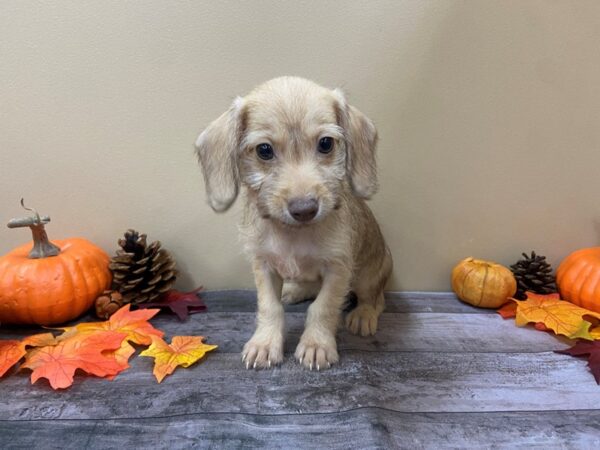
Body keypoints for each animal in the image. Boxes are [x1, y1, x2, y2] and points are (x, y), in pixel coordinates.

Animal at [197, 77, 392, 370]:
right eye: (264, 150)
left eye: (326, 144)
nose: (304, 209)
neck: (293, 235)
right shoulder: (264, 266)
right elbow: (270, 307)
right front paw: (265, 343)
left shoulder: (338, 269)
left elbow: (323, 307)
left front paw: (316, 344)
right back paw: (295, 290)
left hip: (369, 276)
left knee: (376, 299)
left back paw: (364, 314)